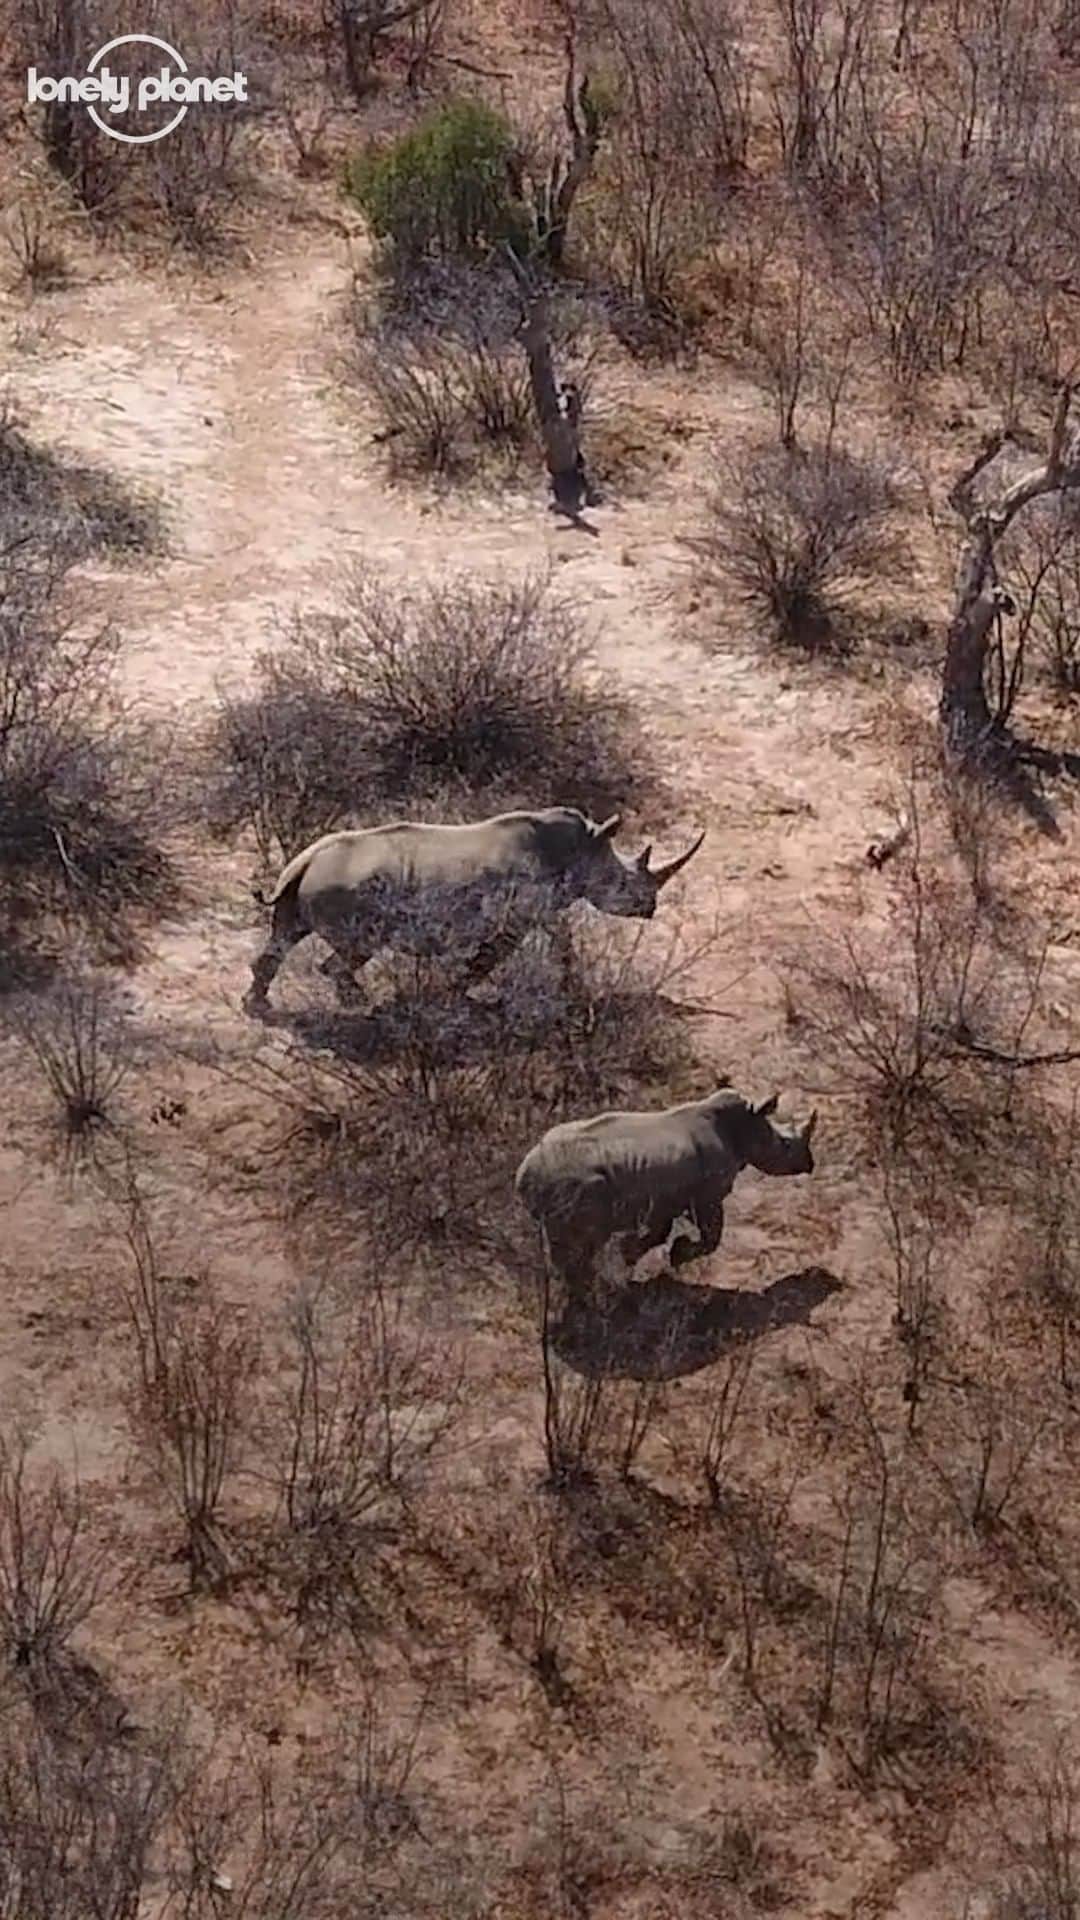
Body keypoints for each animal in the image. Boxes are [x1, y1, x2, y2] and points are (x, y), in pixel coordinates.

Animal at [244, 806, 704, 1013]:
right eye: (623, 884)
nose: (650, 908)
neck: (581, 848)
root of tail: (304, 861)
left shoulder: (533, 911)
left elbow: (540, 947)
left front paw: (450, 994)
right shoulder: (524, 914)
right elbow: (510, 953)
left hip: (307, 878)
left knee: (284, 934)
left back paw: (258, 1005)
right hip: (348, 891)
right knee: (356, 948)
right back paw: (364, 1006)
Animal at [515, 1088, 817, 1294]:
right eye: (785, 1145)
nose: (810, 1164)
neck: (744, 1126)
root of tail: (524, 1173)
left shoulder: (665, 1199)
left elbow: (657, 1233)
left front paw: (629, 1255)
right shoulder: (707, 1196)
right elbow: (712, 1237)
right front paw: (677, 1255)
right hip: (574, 1186)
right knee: (582, 1243)